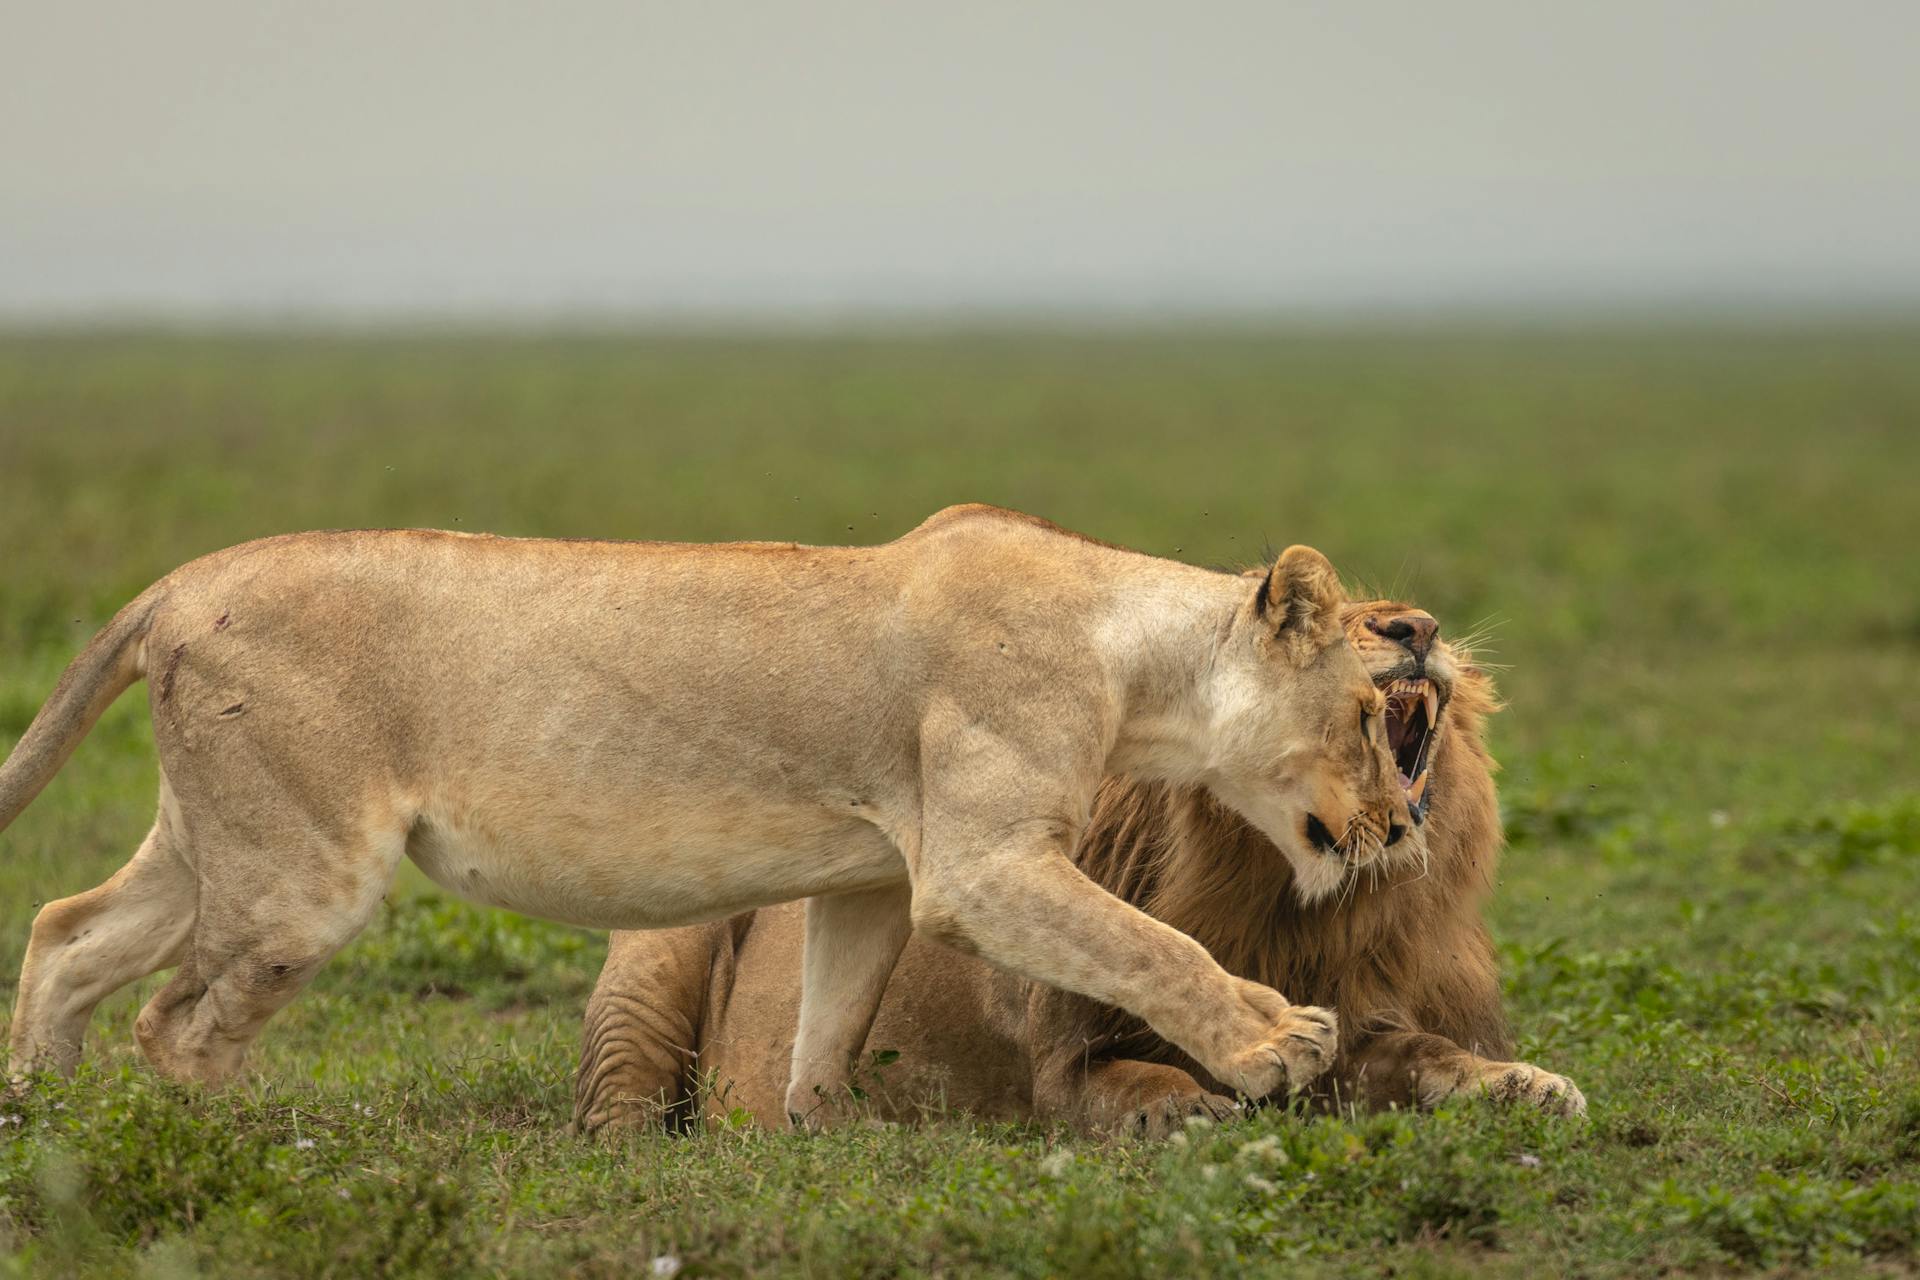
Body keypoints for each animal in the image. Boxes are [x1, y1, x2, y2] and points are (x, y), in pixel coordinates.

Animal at [4, 505, 1415, 1119]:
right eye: (1371, 713)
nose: (1404, 828)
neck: (1137, 662)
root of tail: (177, 581)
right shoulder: (982, 862)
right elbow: (1152, 943)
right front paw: (1278, 1041)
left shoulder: (875, 876)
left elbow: (828, 1028)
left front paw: (822, 1144)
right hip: (306, 874)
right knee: (176, 1023)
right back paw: (215, 1152)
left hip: (217, 841)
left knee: (66, 931)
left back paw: (48, 1129)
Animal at [574, 597, 1584, 1137]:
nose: (1417, 627)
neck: (1292, 899)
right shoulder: (1061, 1062)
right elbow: (1127, 1077)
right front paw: (1184, 1110)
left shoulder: (1362, 1011)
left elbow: (1426, 1054)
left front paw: (1524, 1084)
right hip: (659, 955)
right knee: (615, 1117)